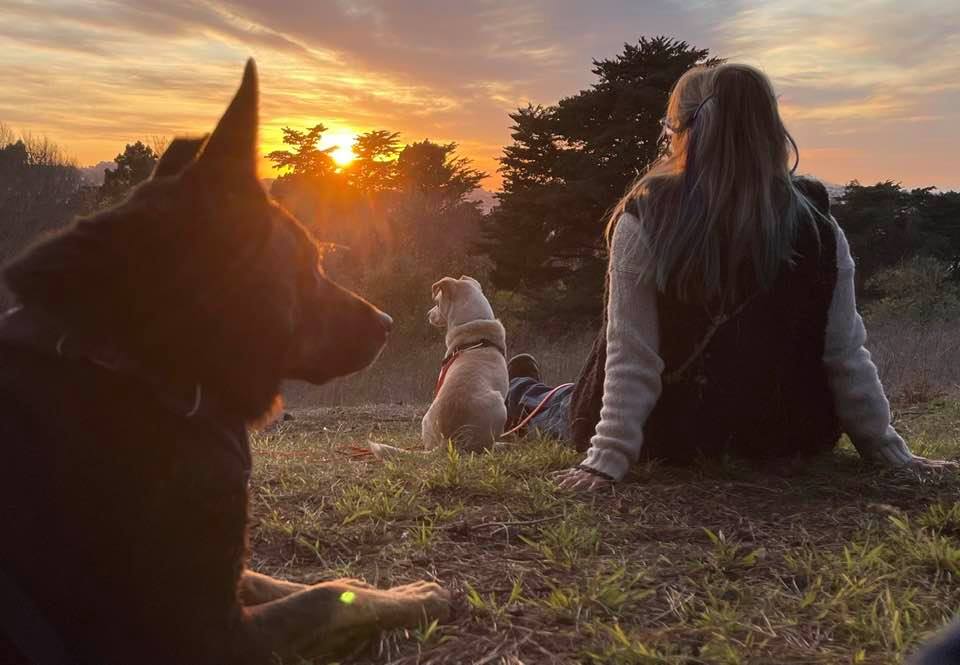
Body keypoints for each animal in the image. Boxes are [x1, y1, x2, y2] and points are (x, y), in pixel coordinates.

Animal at [0, 59, 450, 660]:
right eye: (308, 262)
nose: (388, 324)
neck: (136, 368)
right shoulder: (206, 635)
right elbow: (323, 597)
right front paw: (409, 595)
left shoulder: (225, 578)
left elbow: (282, 580)